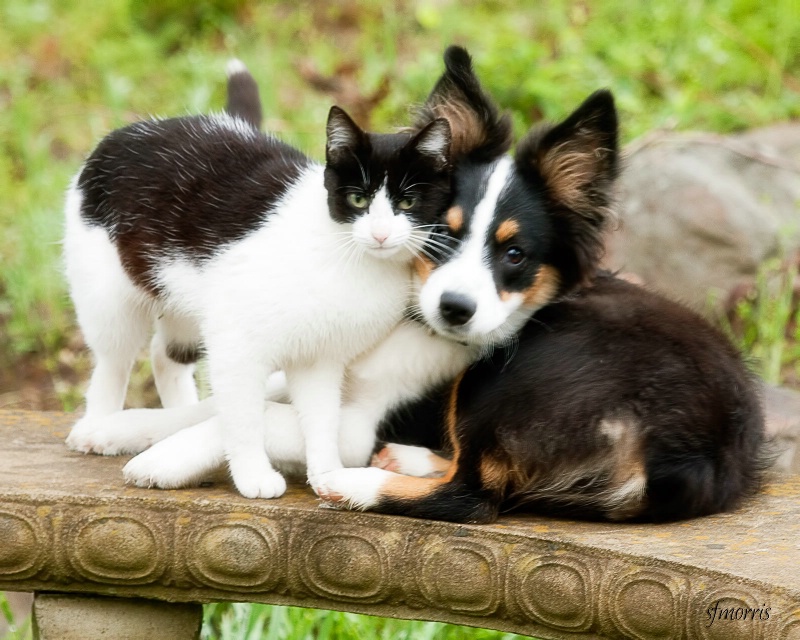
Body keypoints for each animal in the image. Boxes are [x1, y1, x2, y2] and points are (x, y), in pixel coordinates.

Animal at [63, 84, 454, 500]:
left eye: (408, 202)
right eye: (358, 200)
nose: (380, 234)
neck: (349, 257)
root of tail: (123, 133)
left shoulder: (320, 357)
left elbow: (321, 419)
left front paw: (327, 474)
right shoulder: (237, 344)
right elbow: (245, 415)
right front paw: (253, 475)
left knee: (165, 354)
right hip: (109, 296)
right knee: (113, 360)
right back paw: (100, 425)